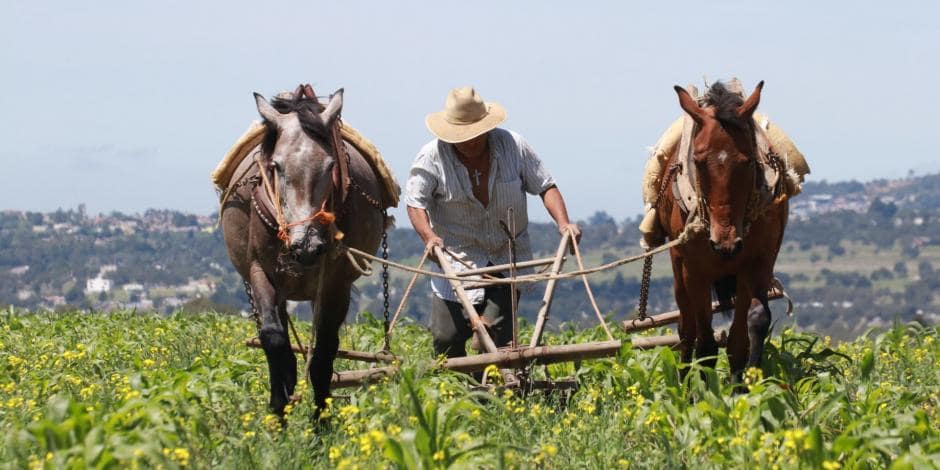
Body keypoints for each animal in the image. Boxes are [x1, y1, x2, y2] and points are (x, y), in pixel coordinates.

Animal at [220, 86, 386, 416]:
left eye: (331, 166)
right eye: (276, 166)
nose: (306, 245)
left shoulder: (337, 282)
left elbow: (325, 349)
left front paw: (321, 420)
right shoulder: (260, 271)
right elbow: (273, 337)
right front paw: (278, 406)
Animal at [656, 80, 788, 382]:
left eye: (748, 160)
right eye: (698, 160)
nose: (725, 243)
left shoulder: (757, 262)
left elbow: (749, 329)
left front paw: (746, 385)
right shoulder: (695, 271)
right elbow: (704, 342)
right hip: (679, 268)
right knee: (686, 327)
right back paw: (682, 380)